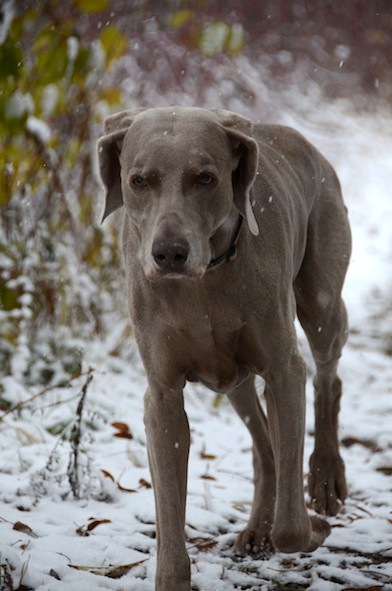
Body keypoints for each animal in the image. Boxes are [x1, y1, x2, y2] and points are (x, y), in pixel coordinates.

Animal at [96, 107, 350, 591]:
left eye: (206, 178)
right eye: (138, 180)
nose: (169, 253)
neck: (205, 282)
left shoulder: (284, 370)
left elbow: (291, 529)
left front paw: (313, 528)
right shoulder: (162, 395)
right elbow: (169, 511)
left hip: (322, 298)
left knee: (328, 375)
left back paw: (326, 477)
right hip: (233, 379)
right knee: (265, 445)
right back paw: (256, 528)